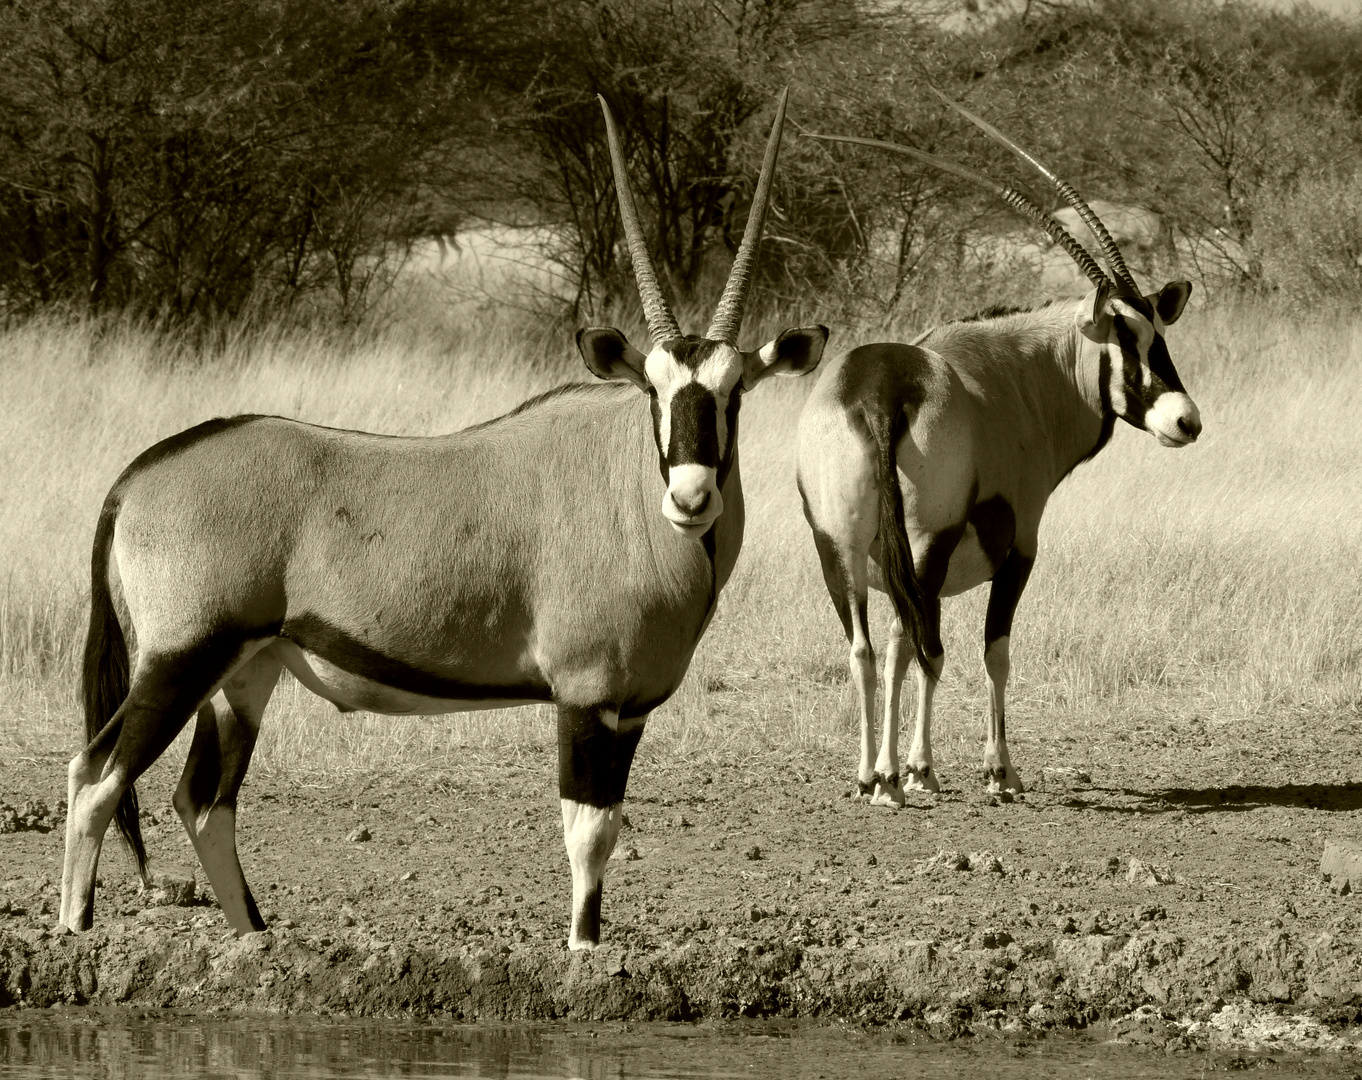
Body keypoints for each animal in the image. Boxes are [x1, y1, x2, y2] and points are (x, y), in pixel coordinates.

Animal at [58, 94, 822, 953]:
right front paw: (584, 953)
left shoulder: (627, 711)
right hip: (181, 658)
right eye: (653, 390)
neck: (626, 491)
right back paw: (75, 932)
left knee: (202, 801)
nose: (690, 499)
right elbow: (588, 834)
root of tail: (138, 476)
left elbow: (606, 830)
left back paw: (257, 938)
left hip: (241, 674)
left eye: (733, 393)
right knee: (96, 777)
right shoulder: (585, 698)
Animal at [795, 92, 1204, 800]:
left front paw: (916, 767)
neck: (1021, 371)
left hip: (839, 547)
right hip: (924, 544)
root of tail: (877, 392)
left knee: (869, 648)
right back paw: (898, 776)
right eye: (1128, 341)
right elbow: (993, 650)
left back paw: (869, 774)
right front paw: (993, 770)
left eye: (1159, 334)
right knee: (910, 641)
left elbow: (919, 650)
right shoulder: (1020, 546)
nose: (1186, 421)